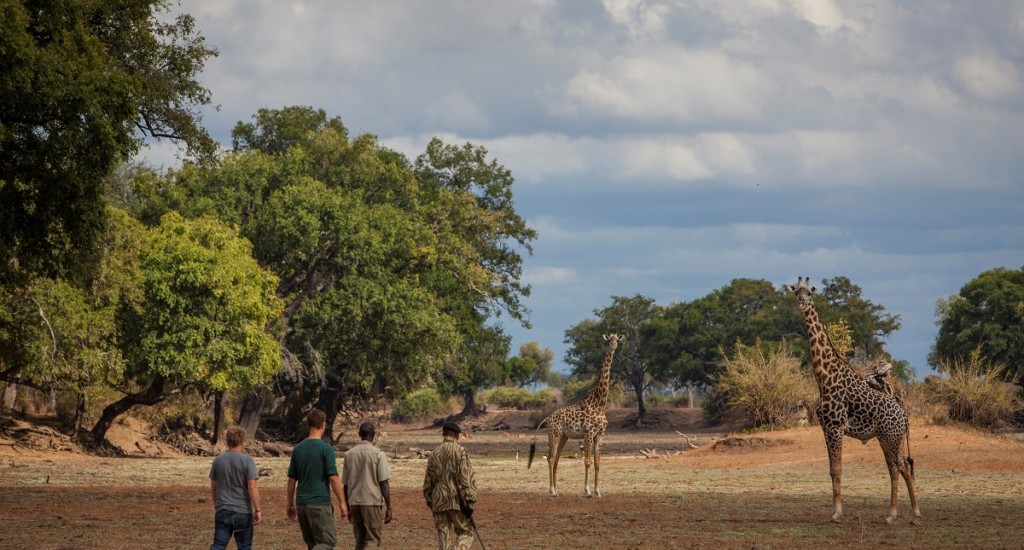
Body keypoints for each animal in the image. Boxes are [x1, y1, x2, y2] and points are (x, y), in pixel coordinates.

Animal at [786, 278, 925, 522]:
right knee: (903, 467)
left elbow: (837, 469)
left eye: (809, 293)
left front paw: (836, 514)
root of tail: (905, 417)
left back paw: (892, 514)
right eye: (796, 292)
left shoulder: (835, 426)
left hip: (889, 437)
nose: (801, 304)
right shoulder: (825, 427)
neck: (824, 376)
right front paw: (836, 512)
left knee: (895, 467)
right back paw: (915, 513)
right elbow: (832, 470)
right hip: (893, 438)